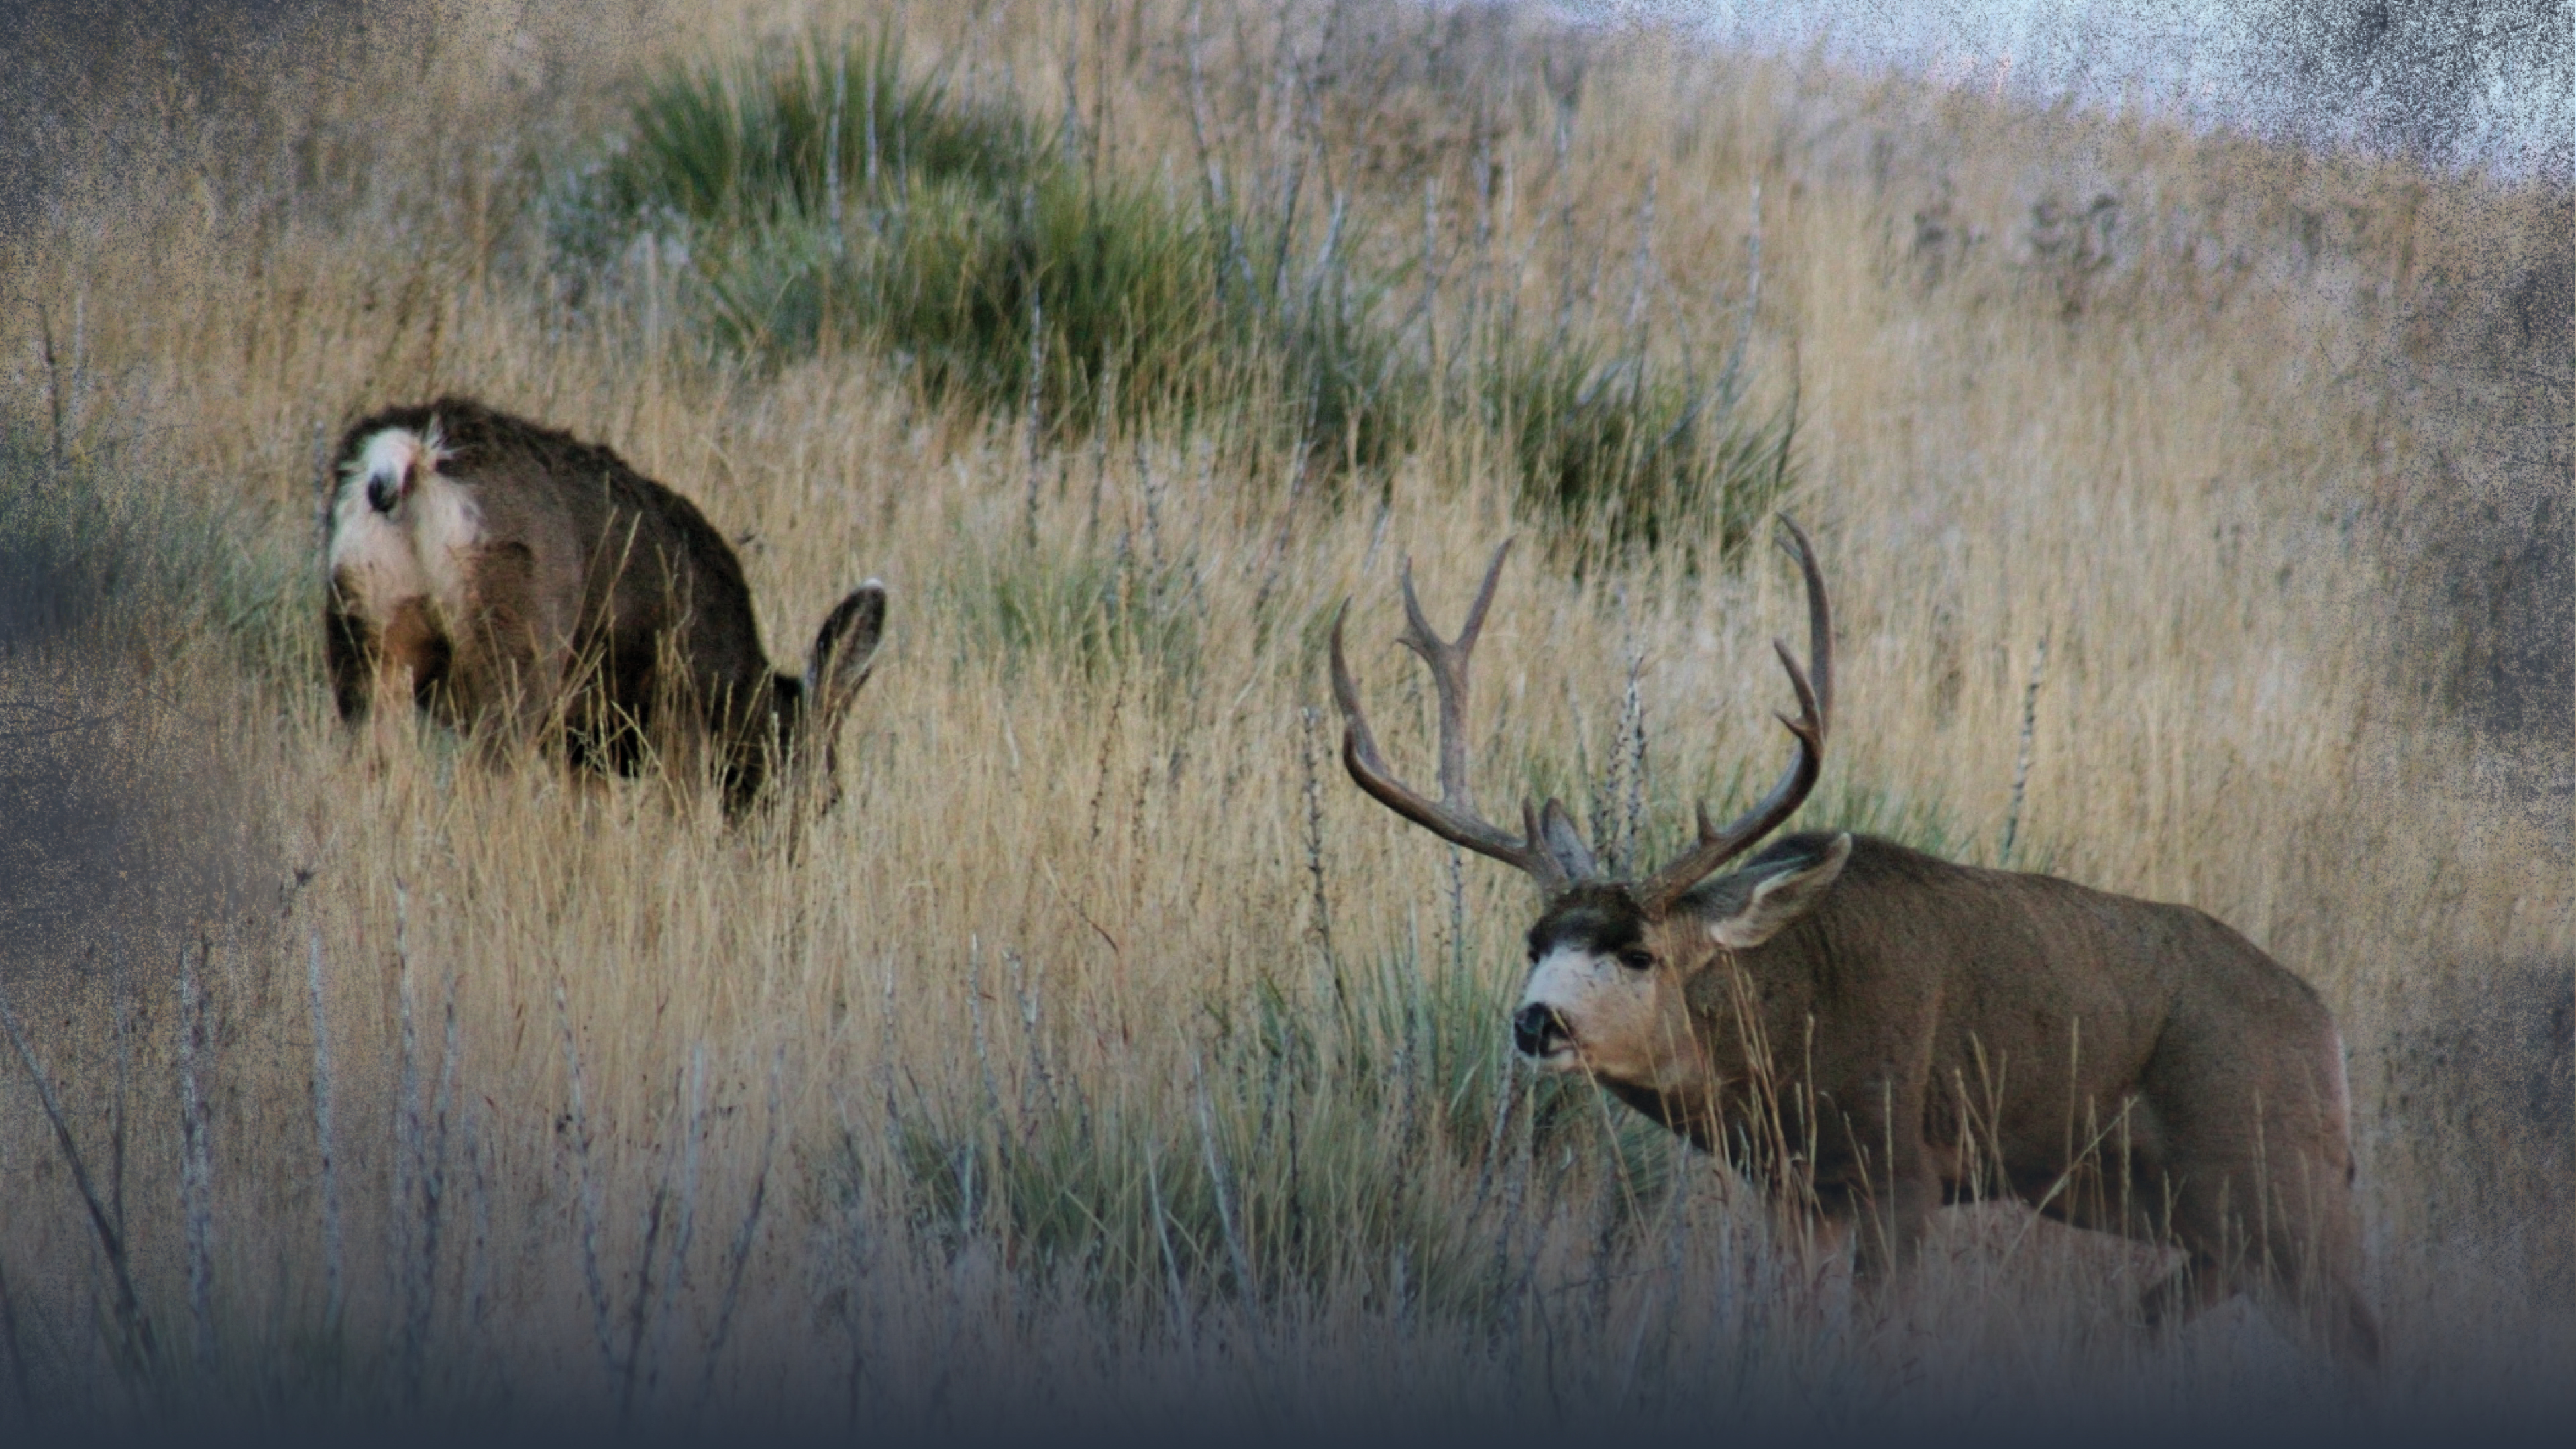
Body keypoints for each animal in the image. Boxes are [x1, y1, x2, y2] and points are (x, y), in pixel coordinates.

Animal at [323, 397, 887, 818]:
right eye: (828, 796)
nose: (787, 858)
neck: (733, 679)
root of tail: (415, 452)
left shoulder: (581, 746)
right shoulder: (678, 703)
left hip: (361, 626)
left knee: (369, 770)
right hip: (519, 635)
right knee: (478, 777)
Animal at [1328, 519, 2383, 1369]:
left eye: (1639, 954)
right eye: (1532, 941)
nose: (1536, 1023)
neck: (1788, 1028)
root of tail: (2325, 1031)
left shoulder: (1901, 1169)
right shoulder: (1795, 1194)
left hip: (2276, 1180)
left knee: (2357, 1338)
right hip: (2203, 1220)